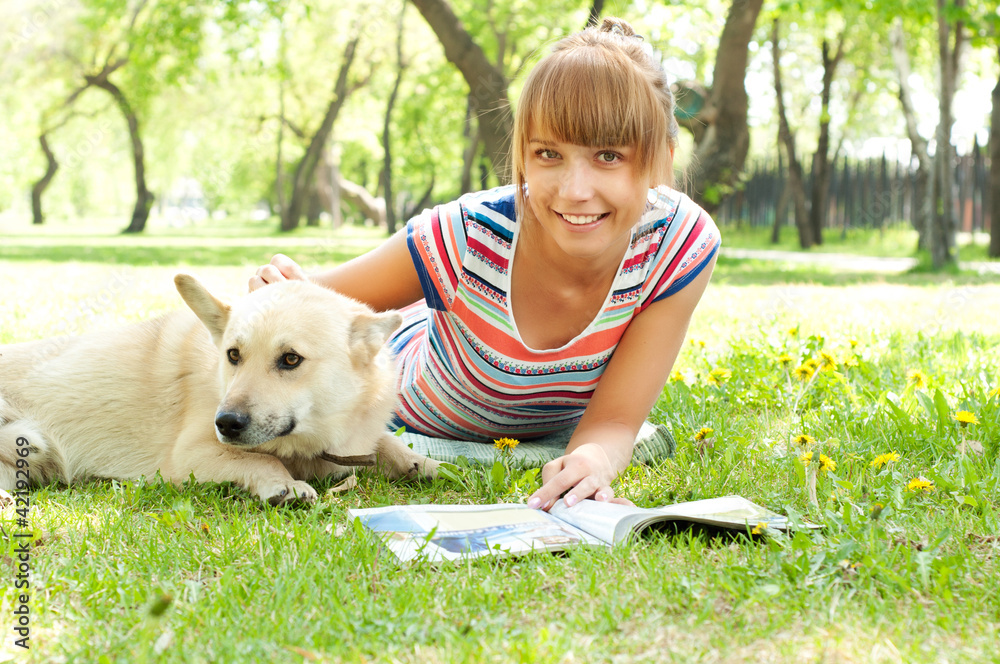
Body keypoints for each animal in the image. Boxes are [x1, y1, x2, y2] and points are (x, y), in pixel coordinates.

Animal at [0, 274, 438, 504]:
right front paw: (284, 483)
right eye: (233, 355)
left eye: (290, 359)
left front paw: (420, 462)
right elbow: (258, 461)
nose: (225, 423)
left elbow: (384, 443)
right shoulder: (191, 455)